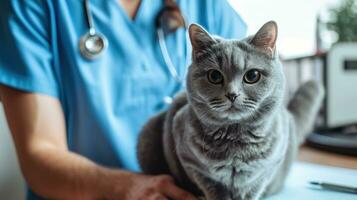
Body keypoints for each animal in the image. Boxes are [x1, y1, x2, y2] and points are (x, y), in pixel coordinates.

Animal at [137, 21, 326, 199]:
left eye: (252, 76)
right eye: (214, 76)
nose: (232, 94)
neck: (235, 140)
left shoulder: (266, 170)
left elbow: (252, 189)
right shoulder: (194, 165)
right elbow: (214, 190)